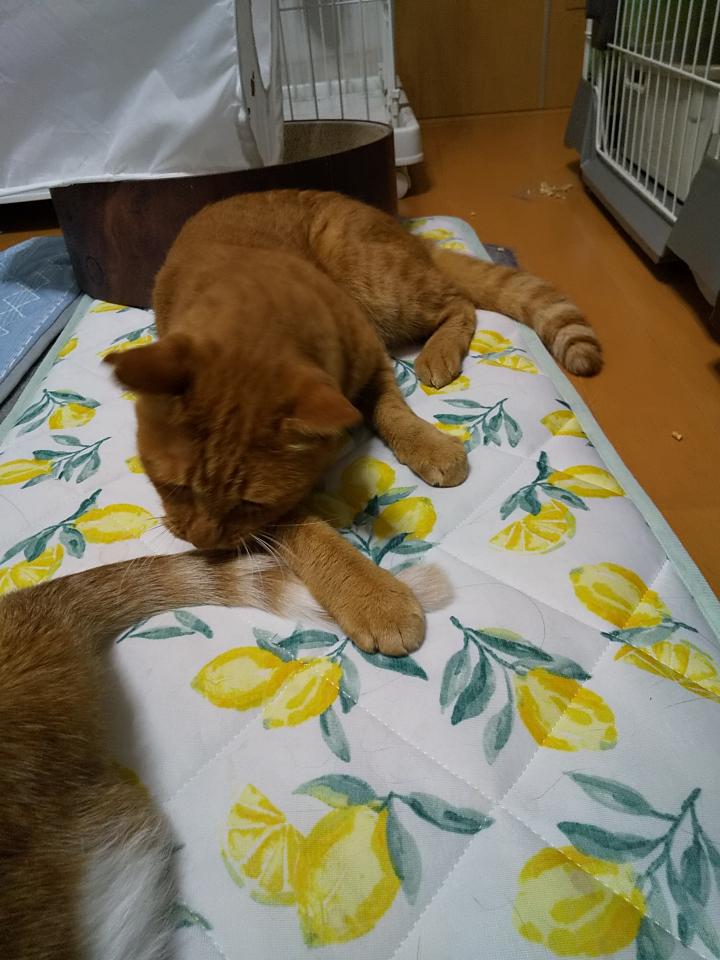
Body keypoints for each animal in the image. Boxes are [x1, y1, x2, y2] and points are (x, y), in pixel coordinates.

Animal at [106, 189, 602, 658]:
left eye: (248, 503)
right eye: (172, 487)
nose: (204, 542)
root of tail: (402, 229)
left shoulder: (370, 360)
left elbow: (393, 411)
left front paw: (428, 444)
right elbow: (312, 536)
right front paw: (371, 595)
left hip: (385, 289)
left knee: (460, 304)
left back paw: (437, 355)